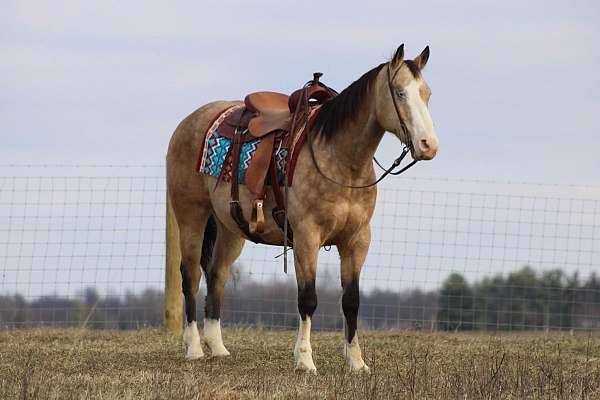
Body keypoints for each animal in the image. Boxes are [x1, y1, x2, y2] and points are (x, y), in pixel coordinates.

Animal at [166, 45, 438, 374]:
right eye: (399, 93)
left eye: (427, 93)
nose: (428, 145)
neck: (340, 159)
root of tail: (190, 121)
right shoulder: (307, 237)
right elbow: (308, 299)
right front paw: (305, 359)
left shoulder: (357, 240)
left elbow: (351, 301)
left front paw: (356, 362)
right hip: (191, 216)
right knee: (191, 275)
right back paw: (194, 347)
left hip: (231, 228)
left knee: (217, 275)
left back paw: (217, 347)